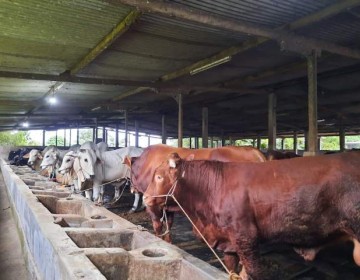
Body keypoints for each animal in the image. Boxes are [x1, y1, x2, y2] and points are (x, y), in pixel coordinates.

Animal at [125, 143, 266, 242]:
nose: (131, 189)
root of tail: (256, 153)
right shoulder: (167, 202)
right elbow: (169, 223)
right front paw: (168, 241)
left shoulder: (153, 202)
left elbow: (157, 225)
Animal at [145, 152, 360, 278]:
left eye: (159, 176)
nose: (145, 197)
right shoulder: (228, 241)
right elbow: (233, 268)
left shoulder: (246, 237)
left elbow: (253, 272)